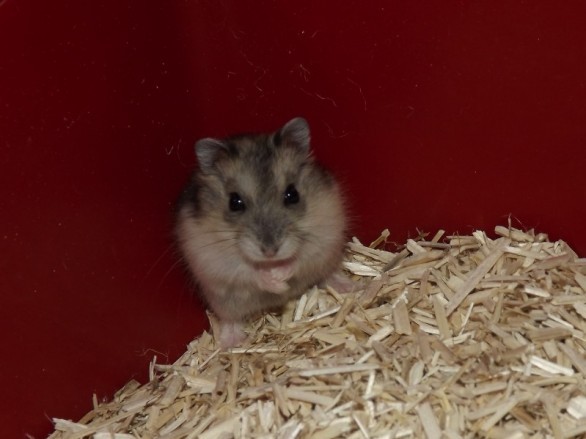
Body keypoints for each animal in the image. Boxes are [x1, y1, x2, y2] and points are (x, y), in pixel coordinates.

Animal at [175, 117, 352, 348]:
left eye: (292, 194)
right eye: (234, 202)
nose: (270, 251)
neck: (269, 262)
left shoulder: (324, 237)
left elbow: (299, 260)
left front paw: (280, 277)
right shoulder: (215, 261)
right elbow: (249, 272)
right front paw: (277, 284)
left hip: (328, 259)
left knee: (327, 274)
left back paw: (350, 287)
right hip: (223, 301)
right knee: (230, 318)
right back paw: (231, 343)